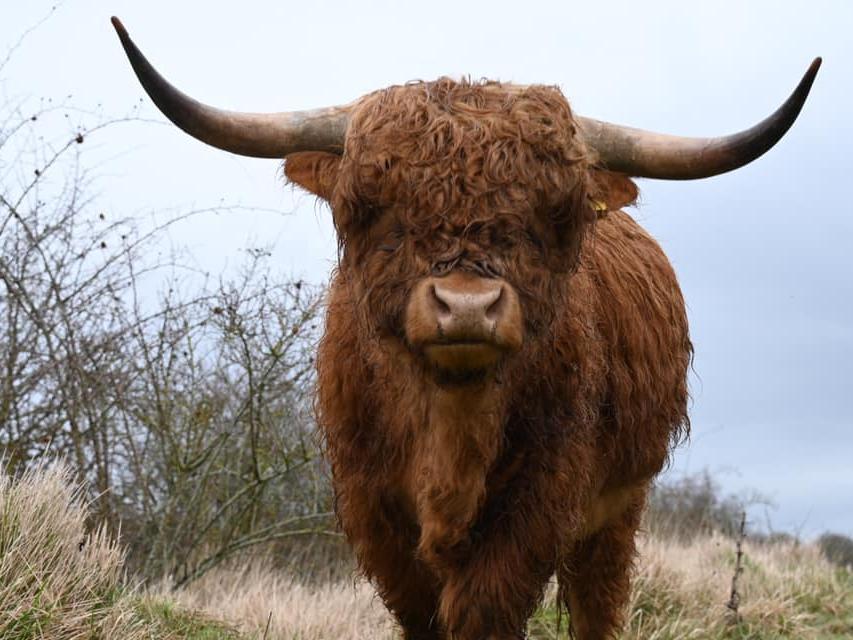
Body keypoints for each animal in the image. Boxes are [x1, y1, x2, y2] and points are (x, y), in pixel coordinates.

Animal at [112, 17, 819, 640]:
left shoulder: (543, 499)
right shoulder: (371, 506)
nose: (468, 306)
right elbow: (423, 613)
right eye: (378, 211)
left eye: (552, 217)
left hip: (619, 508)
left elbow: (486, 609)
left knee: (597, 603)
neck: (450, 428)